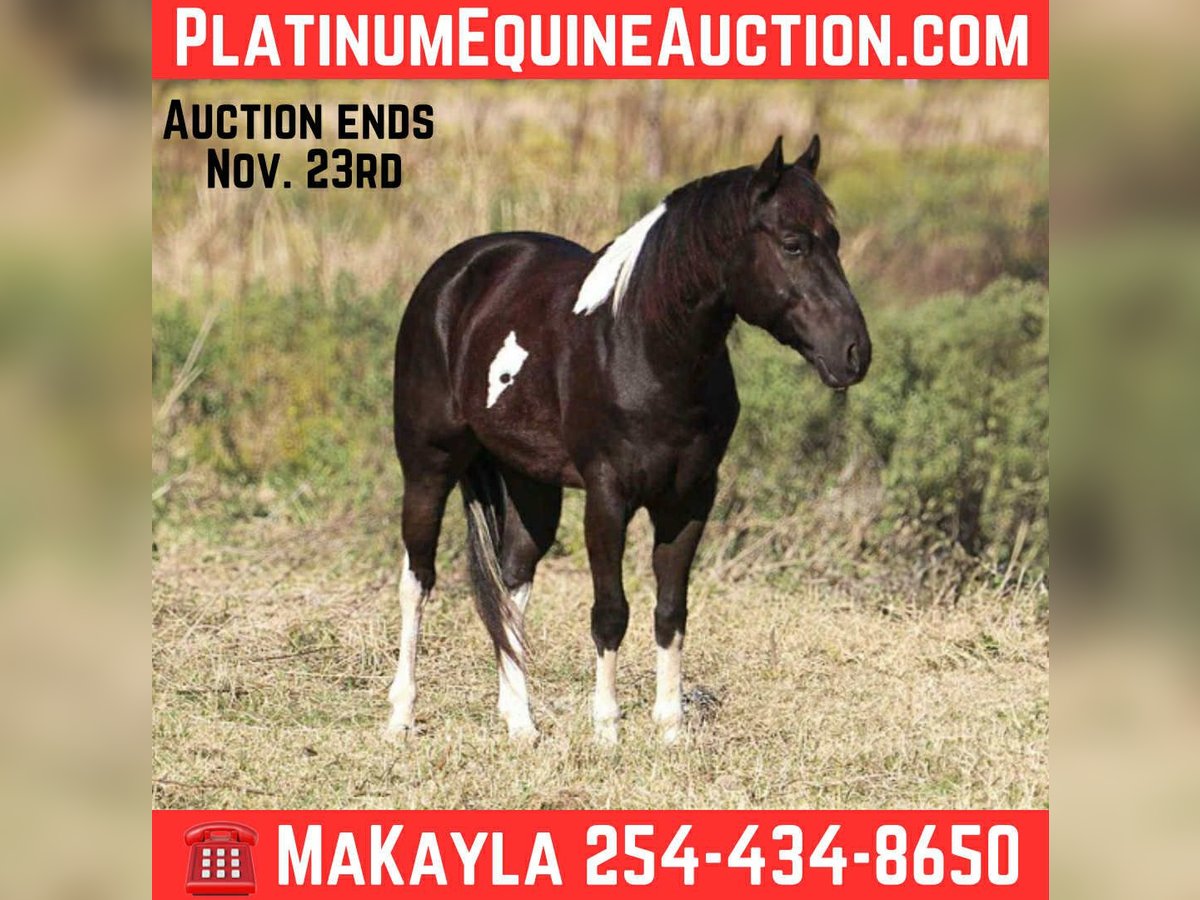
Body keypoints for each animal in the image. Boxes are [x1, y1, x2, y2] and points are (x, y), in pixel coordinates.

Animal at [387, 135, 871, 744]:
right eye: (792, 243)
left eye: (834, 239)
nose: (854, 353)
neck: (645, 348)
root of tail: (454, 273)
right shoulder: (608, 497)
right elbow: (610, 611)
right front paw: (607, 731)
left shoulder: (689, 499)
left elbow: (670, 610)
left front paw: (670, 730)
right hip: (428, 465)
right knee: (418, 578)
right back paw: (400, 717)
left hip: (529, 481)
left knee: (512, 580)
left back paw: (521, 724)